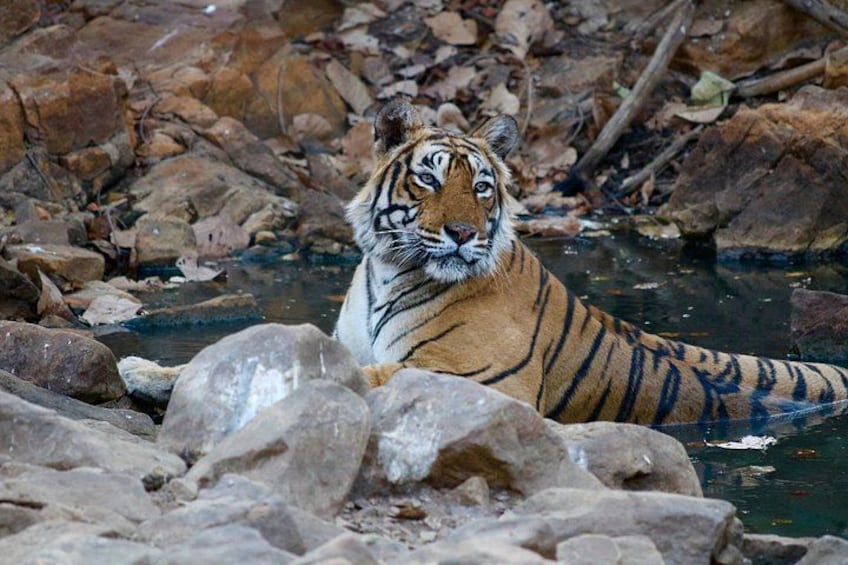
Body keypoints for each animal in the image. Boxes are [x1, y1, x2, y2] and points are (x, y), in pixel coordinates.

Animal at [333, 98, 848, 427]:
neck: (388, 274)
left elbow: (379, 375)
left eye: (481, 187)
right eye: (428, 179)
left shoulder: (487, 383)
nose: (463, 234)